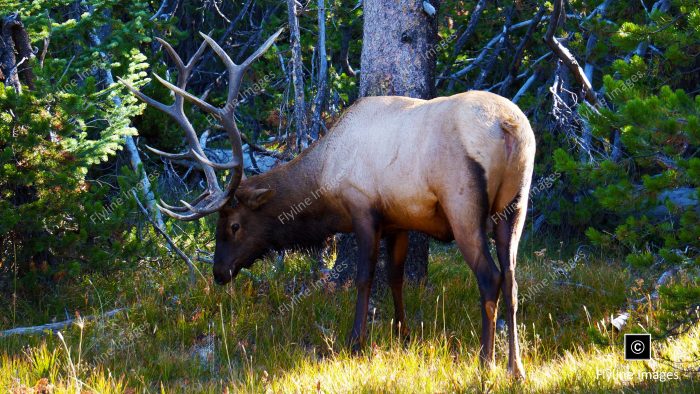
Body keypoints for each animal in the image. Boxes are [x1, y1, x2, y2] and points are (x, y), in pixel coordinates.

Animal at [120, 27, 536, 378]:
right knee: (513, 279)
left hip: (462, 203)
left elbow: (364, 277)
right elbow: (396, 277)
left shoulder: (363, 208)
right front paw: (402, 335)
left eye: (234, 225)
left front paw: (356, 341)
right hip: (516, 204)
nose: (219, 272)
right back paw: (515, 367)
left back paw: (485, 362)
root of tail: (508, 128)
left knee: (490, 277)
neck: (326, 178)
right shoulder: (399, 220)